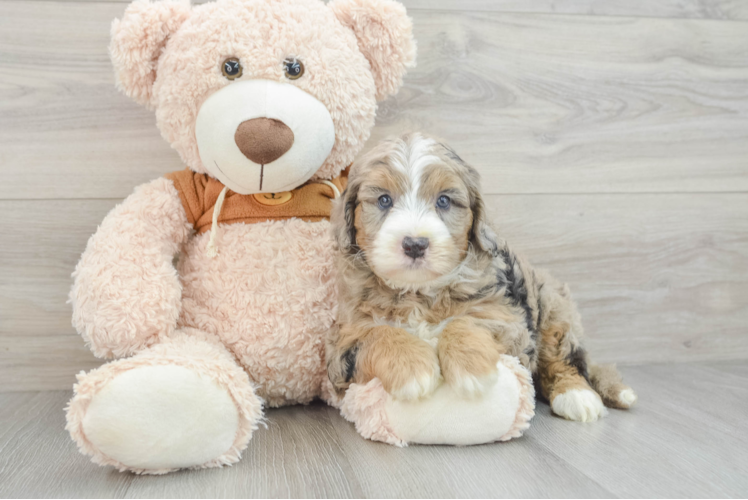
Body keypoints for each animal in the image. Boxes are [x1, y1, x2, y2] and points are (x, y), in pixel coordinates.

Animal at [328, 133, 636, 422]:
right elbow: (377, 334)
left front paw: (470, 368)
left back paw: (577, 396)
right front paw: (413, 369)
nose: (415, 244)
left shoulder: (509, 321)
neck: (418, 292)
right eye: (384, 200)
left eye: (443, 201)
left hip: (553, 306)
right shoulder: (342, 345)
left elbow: (467, 321)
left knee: (564, 359)